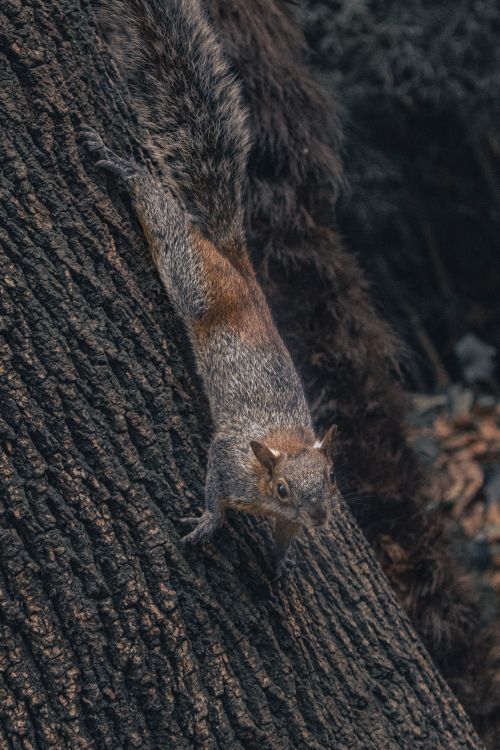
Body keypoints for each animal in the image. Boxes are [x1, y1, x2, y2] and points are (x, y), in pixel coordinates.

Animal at [81, 0, 340, 580]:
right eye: (282, 487)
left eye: (332, 477)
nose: (319, 519)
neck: (274, 454)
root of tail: (240, 271)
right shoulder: (230, 459)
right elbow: (215, 492)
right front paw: (208, 524)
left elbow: (284, 539)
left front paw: (280, 563)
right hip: (195, 277)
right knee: (167, 223)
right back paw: (126, 169)